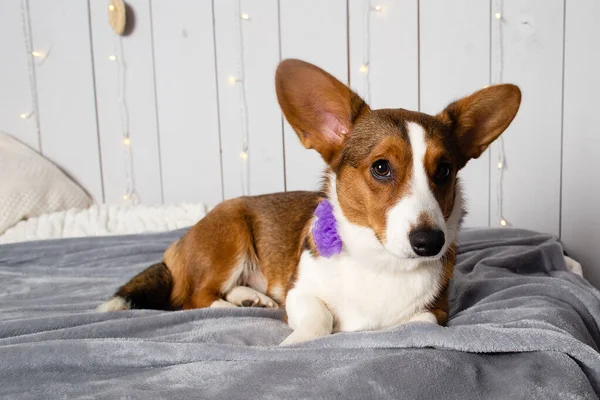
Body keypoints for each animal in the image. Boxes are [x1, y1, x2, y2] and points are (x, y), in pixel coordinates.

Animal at [97, 57, 520, 346]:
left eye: (444, 170)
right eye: (381, 168)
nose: (430, 243)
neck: (379, 262)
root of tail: (179, 243)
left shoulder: (436, 314)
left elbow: (413, 323)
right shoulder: (300, 293)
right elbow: (320, 318)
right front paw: (297, 342)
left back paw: (250, 298)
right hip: (230, 233)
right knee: (193, 298)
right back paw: (233, 307)